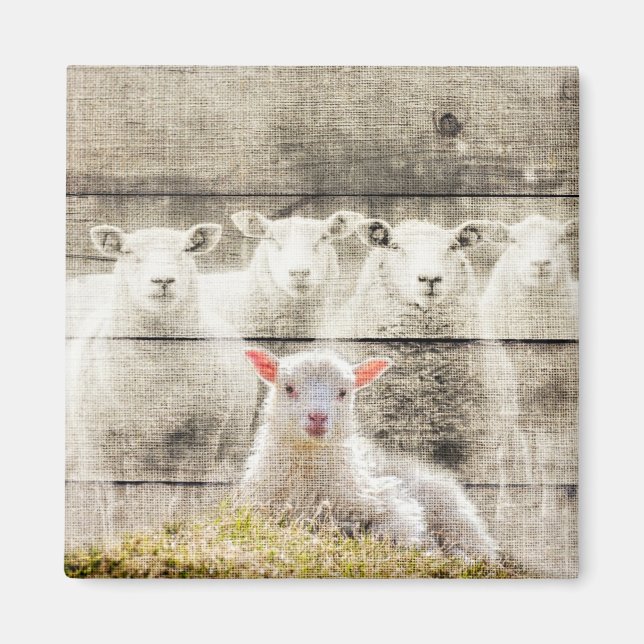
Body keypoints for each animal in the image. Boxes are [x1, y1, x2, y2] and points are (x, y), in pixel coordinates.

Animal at [66, 224, 258, 482]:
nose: (163, 280)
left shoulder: (202, 438)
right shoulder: (97, 445)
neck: (156, 367)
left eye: (186, 250)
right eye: (128, 252)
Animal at [238, 348, 499, 560]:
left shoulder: (394, 504)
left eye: (343, 392)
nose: (318, 418)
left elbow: (394, 532)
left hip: (454, 517)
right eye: (289, 388)